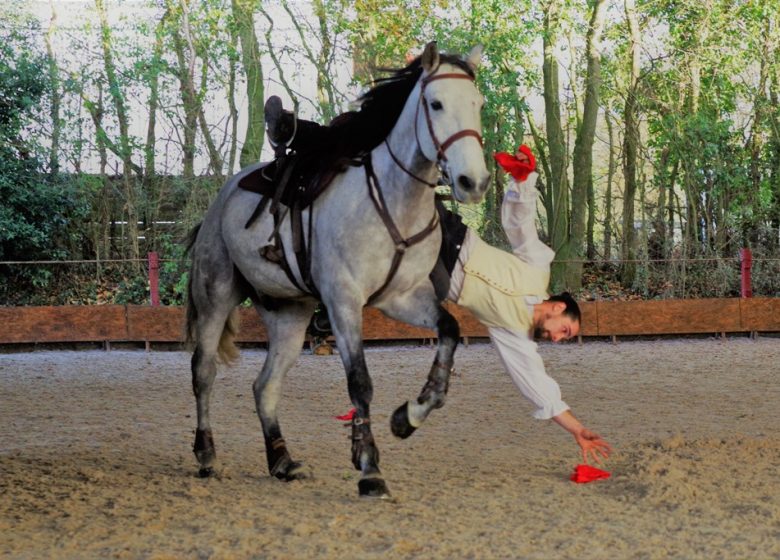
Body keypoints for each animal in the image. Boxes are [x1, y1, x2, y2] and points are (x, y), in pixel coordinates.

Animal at [186, 43, 488, 498]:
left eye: (478, 104)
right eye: (435, 104)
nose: (474, 181)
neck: (394, 201)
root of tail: (221, 200)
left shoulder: (404, 297)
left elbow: (450, 330)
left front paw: (410, 415)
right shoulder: (344, 302)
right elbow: (360, 383)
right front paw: (369, 467)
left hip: (289, 313)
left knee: (265, 385)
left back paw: (282, 460)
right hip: (216, 294)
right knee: (203, 372)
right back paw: (206, 455)